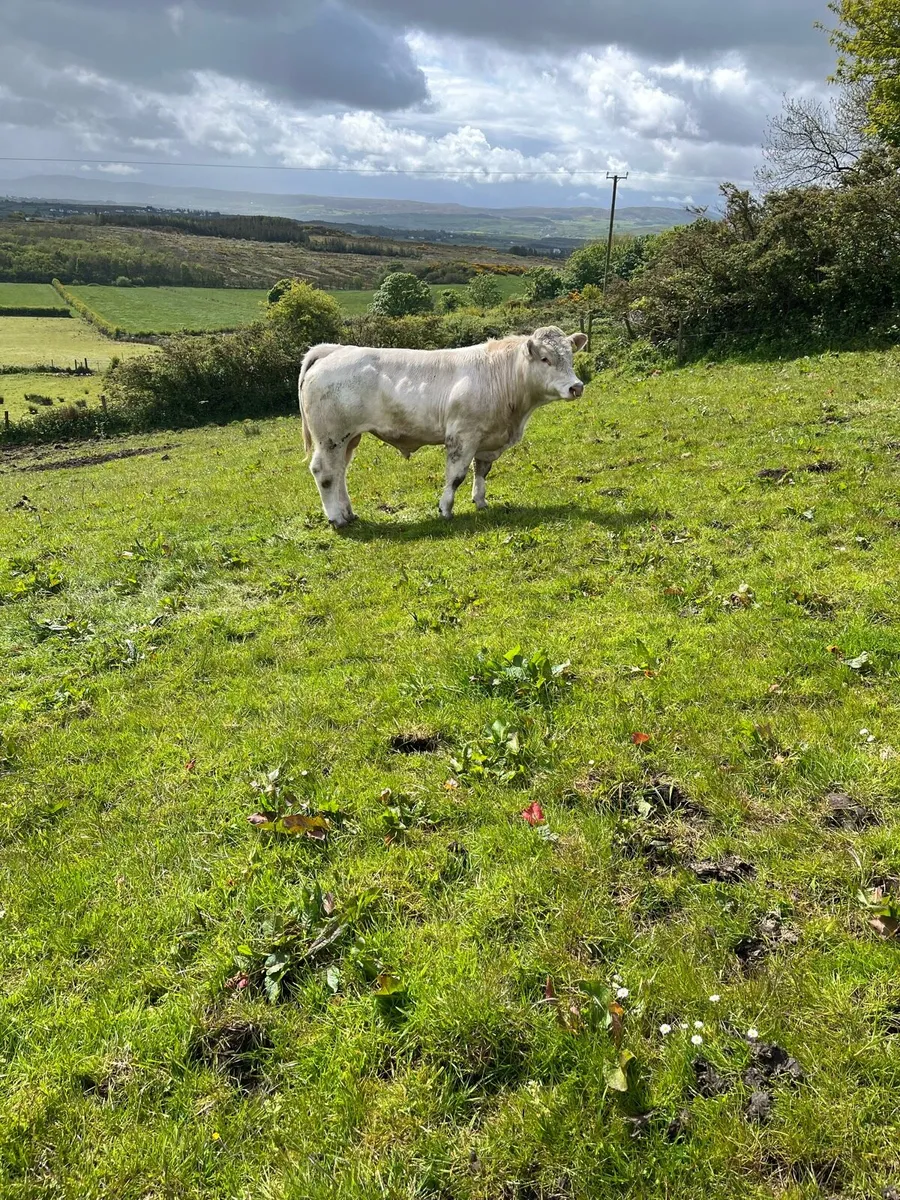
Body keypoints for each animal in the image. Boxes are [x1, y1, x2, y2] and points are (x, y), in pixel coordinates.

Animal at [298, 326, 588, 528]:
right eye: (545, 359)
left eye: (570, 357)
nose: (576, 387)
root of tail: (334, 349)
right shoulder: (462, 436)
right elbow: (456, 476)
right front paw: (445, 509)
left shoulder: (488, 439)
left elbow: (481, 471)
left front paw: (481, 502)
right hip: (331, 436)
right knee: (324, 472)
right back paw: (337, 518)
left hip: (349, 438)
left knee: (340, 471)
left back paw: (348, 512)